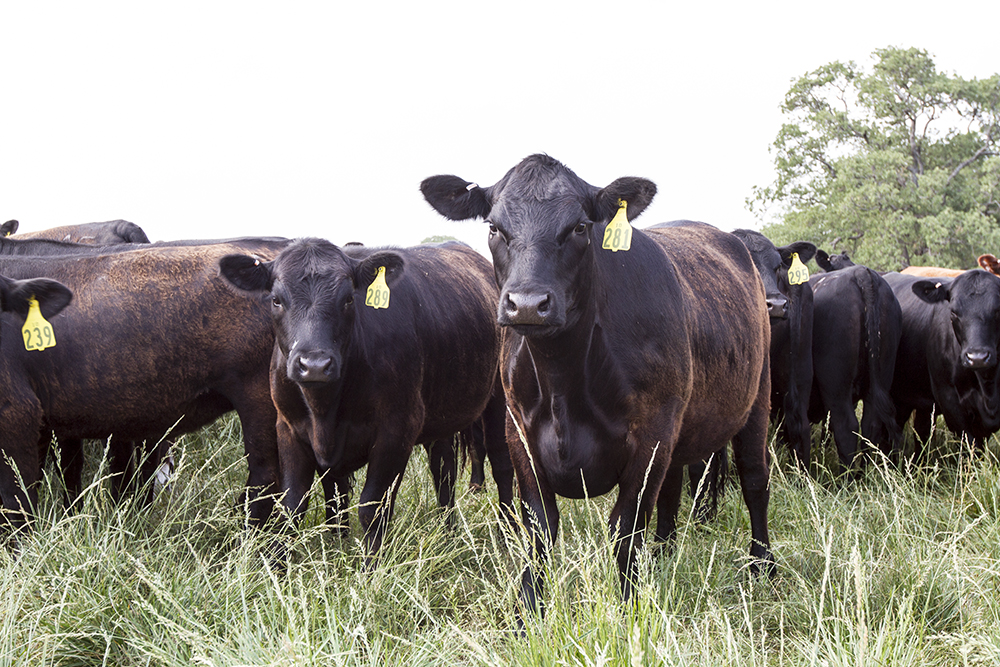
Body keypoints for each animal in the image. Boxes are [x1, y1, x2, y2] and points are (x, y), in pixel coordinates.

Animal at [219, 239, 514, 555]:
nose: (314, 364)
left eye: (349, 299)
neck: (324, 411)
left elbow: (372, 508)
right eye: (276, 300)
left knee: (501, 465)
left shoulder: (396, 430)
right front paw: (290, 559)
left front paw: (371, 566)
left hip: (499, 402)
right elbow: (294, 505)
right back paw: (449, 533)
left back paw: (506, 537)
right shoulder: (288, 428)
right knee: (443, 468)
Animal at [420, 154, 773, 617]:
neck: (564, 384)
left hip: (757, 399)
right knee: (672, 492)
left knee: (755, 480)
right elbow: (540, 528)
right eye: (494, 227)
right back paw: (663, 554)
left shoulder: (652, 436)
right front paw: (528, 611)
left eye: (579, 227)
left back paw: (762, 564)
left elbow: (625, 528)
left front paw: (628, 608)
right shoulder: (520, 433)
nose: (528, 304)